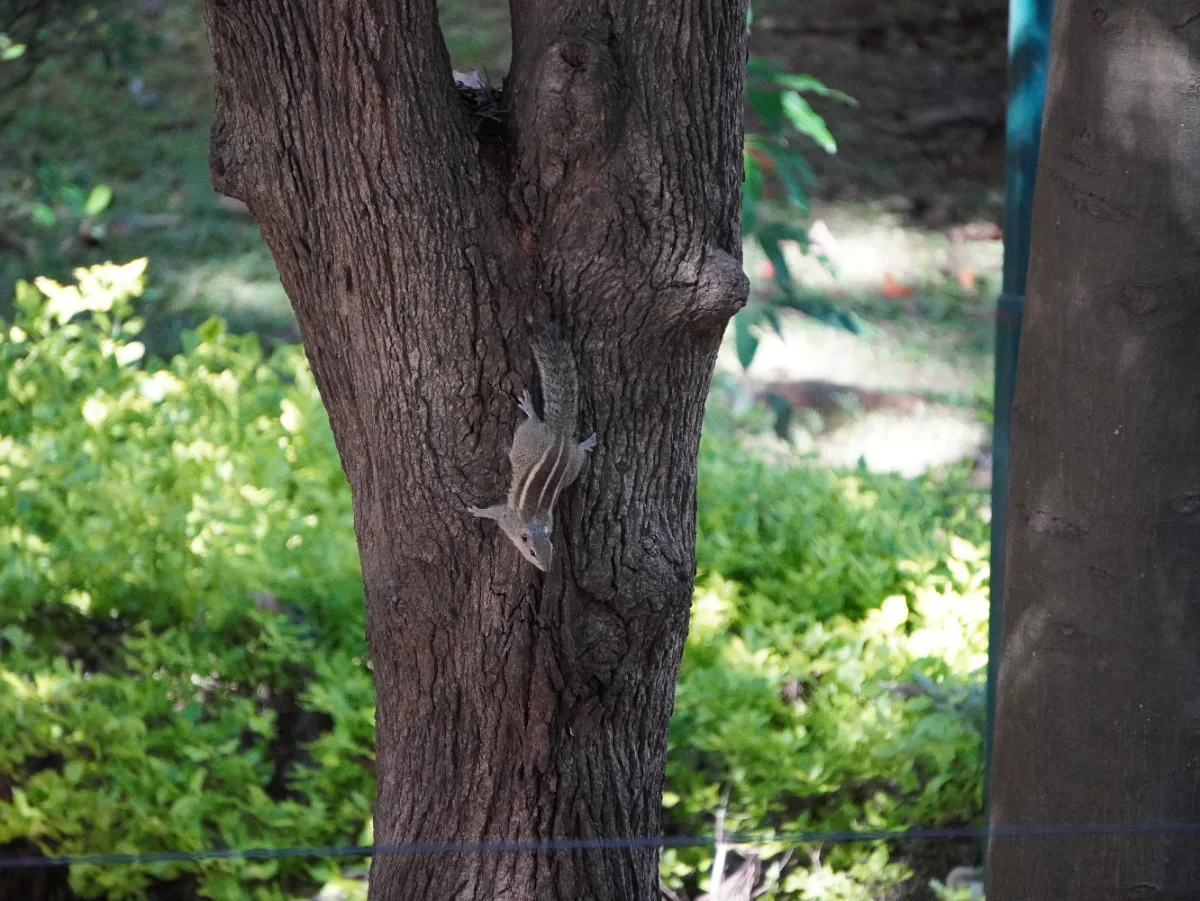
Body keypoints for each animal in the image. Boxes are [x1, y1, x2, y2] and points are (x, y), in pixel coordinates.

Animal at [468, 332, 596, 571]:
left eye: (552, 549)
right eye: (532, 552)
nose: (546, 569)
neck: (532, 525)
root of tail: (559, 436)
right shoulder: (508, 519)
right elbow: (494, 512)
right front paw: (478, 511)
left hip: (566, 465)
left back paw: (584, 442)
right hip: (528, 441)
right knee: (537, 424)